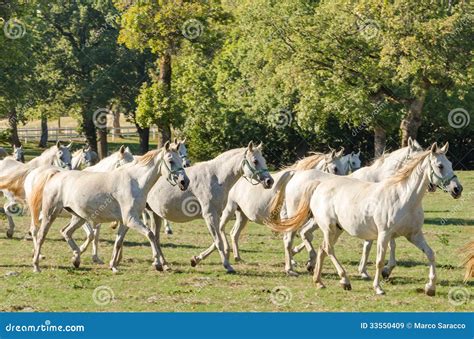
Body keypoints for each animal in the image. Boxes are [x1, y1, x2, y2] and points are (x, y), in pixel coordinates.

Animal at [28, 143, 189, 274]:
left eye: (180, 159)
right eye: (171, 161)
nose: (184, 182)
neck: (135, 182)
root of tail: (55, 175)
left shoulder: (125, 222)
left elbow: (118, 242)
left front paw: (113, 266)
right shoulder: (131, 220)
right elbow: (150, 234)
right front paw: (158, 264)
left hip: (78, 218)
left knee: (66, 232)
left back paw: (76, 259)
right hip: (50, 214)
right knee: (41, 235)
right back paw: (36, 265)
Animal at [111, 142, 274, 274]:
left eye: (264, 160)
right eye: (255, 161)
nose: (269, 181)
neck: (216, 177)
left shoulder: (217, 215)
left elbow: (217, 240)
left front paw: (196, 259)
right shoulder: (209, 215)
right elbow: (218, 241)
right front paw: (227, 266)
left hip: (154, 214)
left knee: (153, 237)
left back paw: (161, 264)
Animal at [270, 142, 462, 296]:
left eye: (451, 164)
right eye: (440, 165)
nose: (457, 189)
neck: (403, 197)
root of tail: (318, 185)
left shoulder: (413, 235)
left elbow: (430, 254)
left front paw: (430, 287)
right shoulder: (384, 234)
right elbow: (378, 260)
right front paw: (378, 287)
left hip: (335, 229)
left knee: (321, 247)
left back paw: (319, 281)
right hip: (326, 227)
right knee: (319, 246)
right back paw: (339, 279)